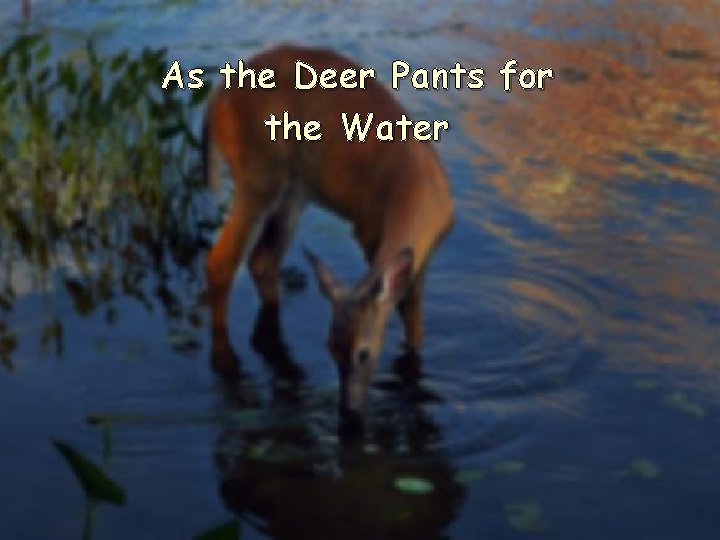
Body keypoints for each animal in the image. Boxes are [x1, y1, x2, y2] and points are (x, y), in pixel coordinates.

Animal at [202, 44, 454, 419]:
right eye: (331, 349)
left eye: (362, 354)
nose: (348, 411)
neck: (417, 189)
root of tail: (216, 100)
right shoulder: (368, 228)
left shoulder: (425, 255)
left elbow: (411, 314)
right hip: (258, 174)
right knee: (221, 261)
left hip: (295, 188)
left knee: (262, 260)